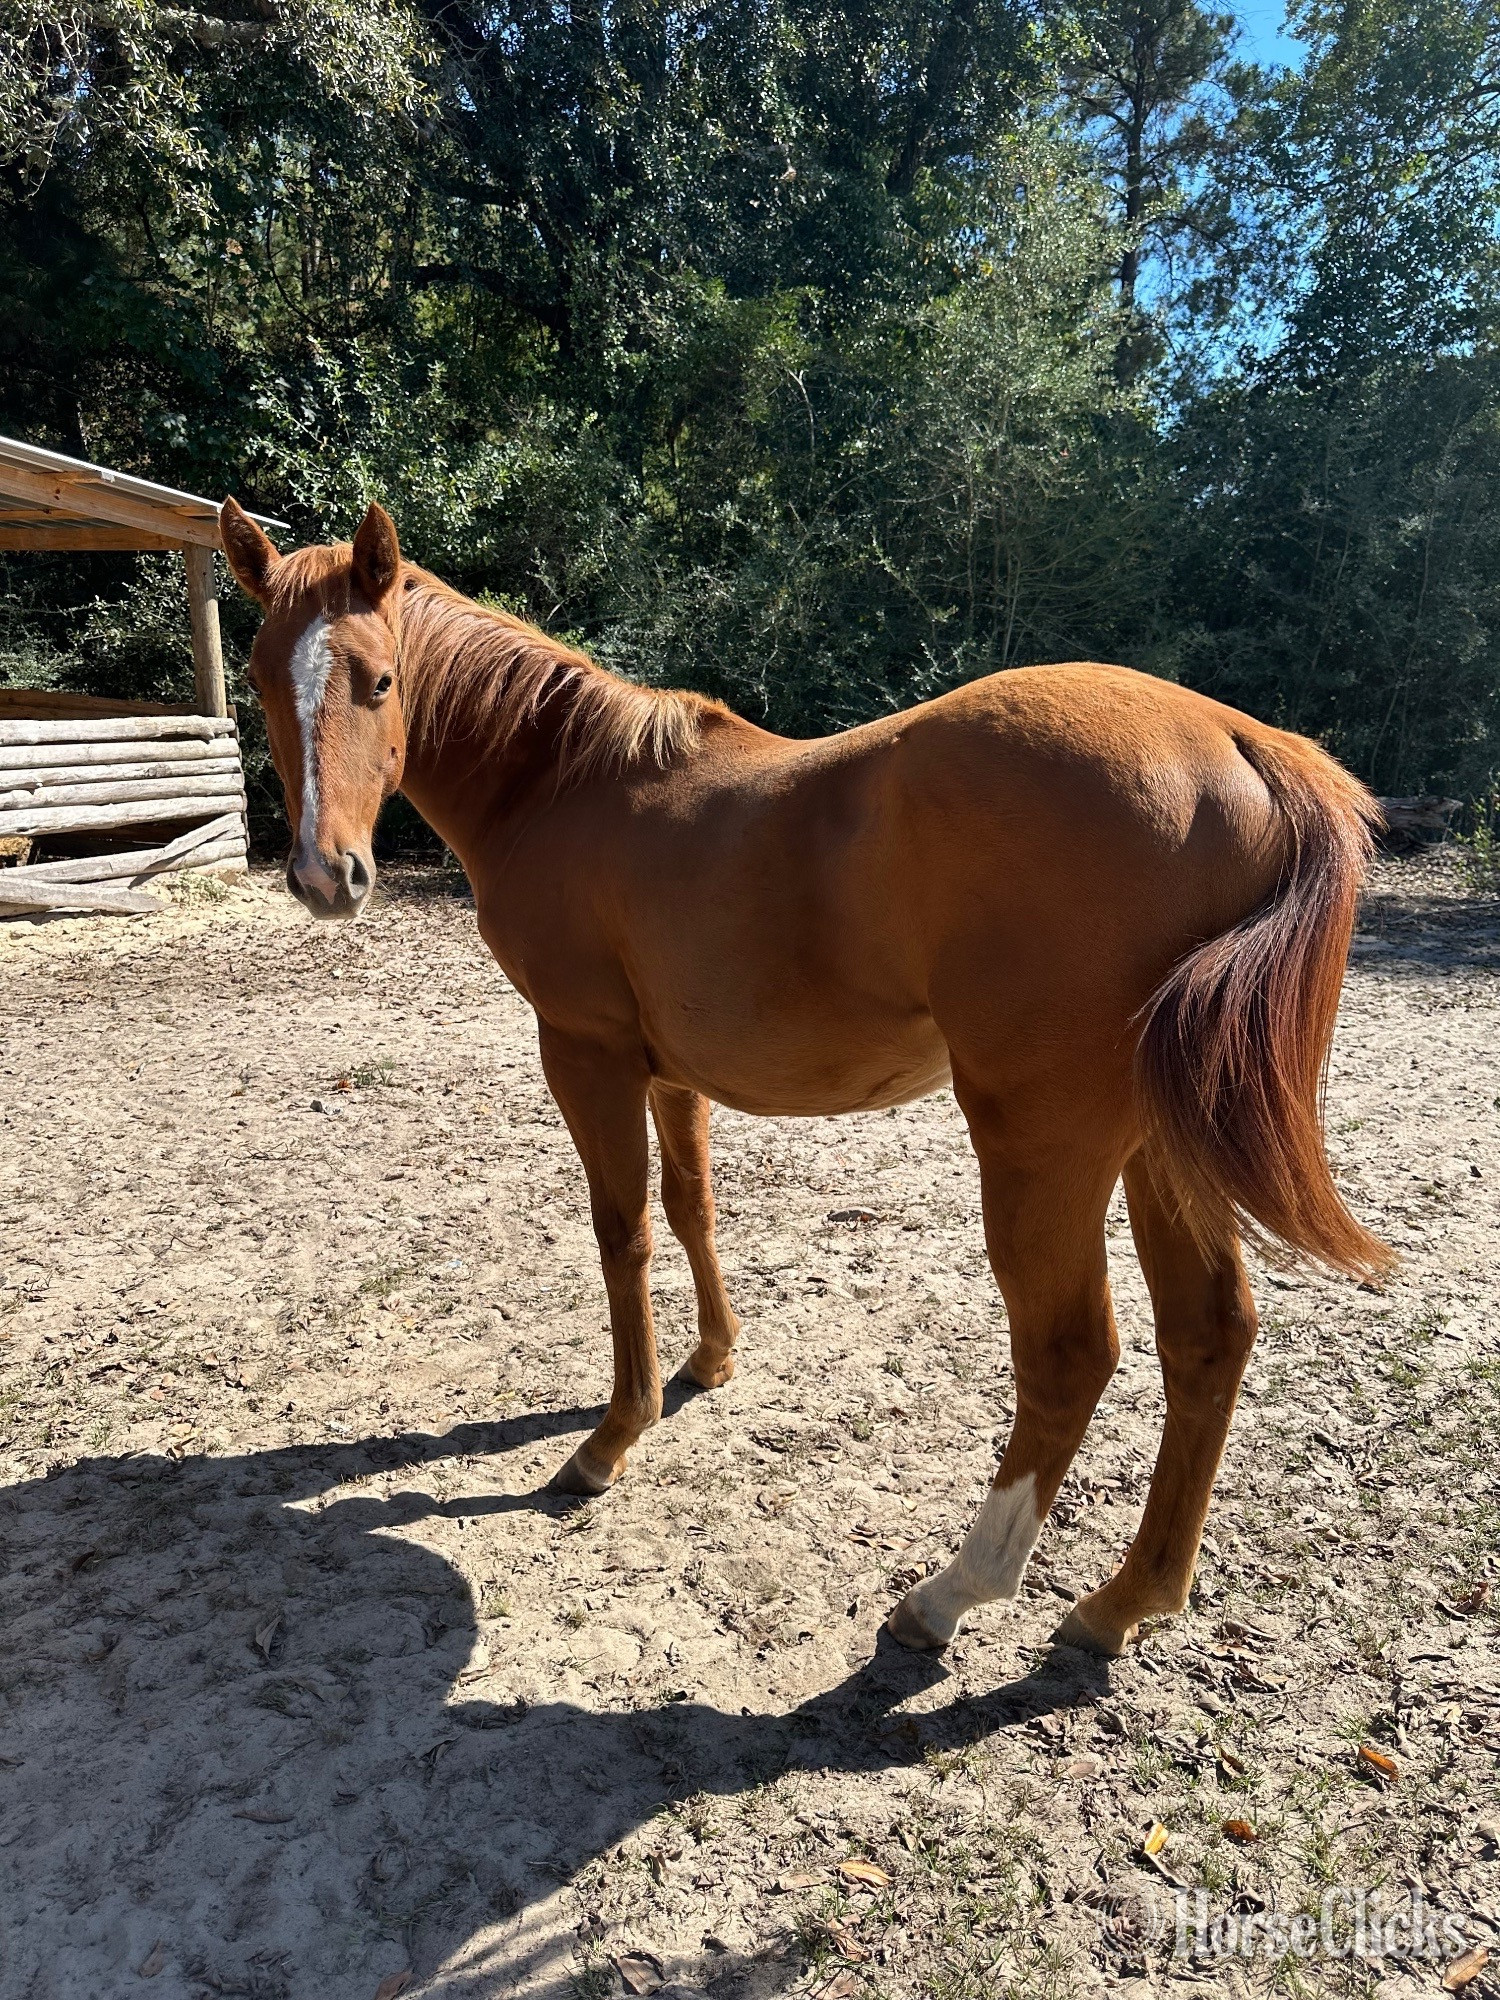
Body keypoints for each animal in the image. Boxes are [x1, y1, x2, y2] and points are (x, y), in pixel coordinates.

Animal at [219, 495, 1392, 1658]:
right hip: (1159, 1147)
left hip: (1044, 1142)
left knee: (1069, 1355)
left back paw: (951, 1593)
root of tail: (1239, 740)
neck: (562, 782)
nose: (326, 876)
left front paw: (612, 1436)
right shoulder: (669, 1070)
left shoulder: (585, 1050)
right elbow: (692, 1208)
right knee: (1208, 1338)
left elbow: (622, 1231)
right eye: (265, 680)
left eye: (379, 678)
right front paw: (711, 1361)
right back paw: (1126, 1599)